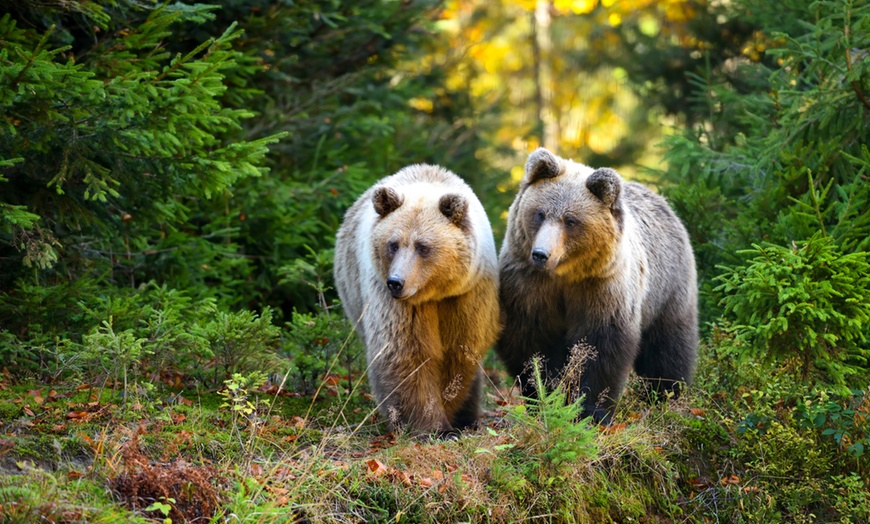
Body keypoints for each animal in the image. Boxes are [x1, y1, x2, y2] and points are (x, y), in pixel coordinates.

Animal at [498, 146, 700, 422]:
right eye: (540, 214)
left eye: (571, 221)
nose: (540, 254)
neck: (564, 275)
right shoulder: (529, 285)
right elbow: (531, 342)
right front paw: (544, 393)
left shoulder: (602, 287)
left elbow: (600, 346)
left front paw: (589, 410)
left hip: (668, 288)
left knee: (668, 347)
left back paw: (666, 394)